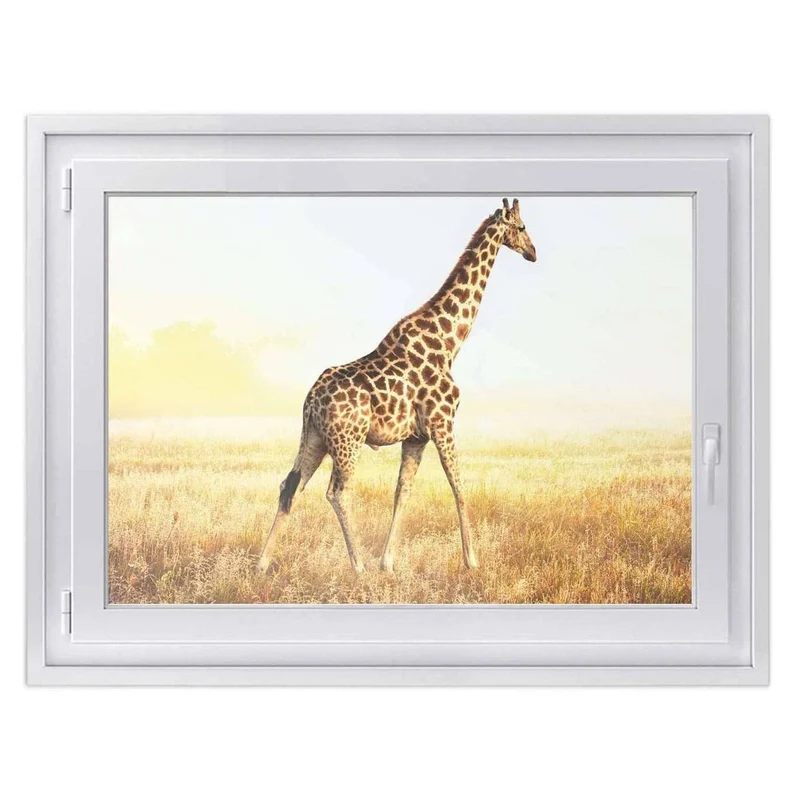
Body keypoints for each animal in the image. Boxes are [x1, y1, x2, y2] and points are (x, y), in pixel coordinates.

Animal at [256, 198, 537, 574]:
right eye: (522, 227)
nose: (533, 253)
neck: (449, 341)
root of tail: (310, 400)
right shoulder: (443, 423)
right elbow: (459, 486)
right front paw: (472, 561)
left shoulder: (416, 436)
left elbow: (402, 491)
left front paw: (388, 562)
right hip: (347, 441)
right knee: (337, 492)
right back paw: (357, 565)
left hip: (314, 437)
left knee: (291, 486)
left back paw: (262, 563)